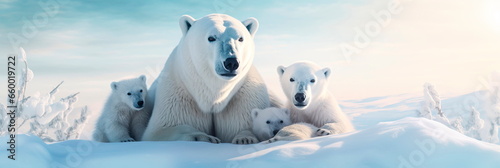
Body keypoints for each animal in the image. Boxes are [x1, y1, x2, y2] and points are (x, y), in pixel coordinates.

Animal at [141, 13, 276, 144]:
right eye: (211, 38)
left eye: (241, 38)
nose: (231, 62)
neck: (214, 95)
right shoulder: (179, 93)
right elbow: (164, 128)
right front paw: (204, 137)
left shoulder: (244, 95)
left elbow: (242, 124)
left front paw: (245, 138)